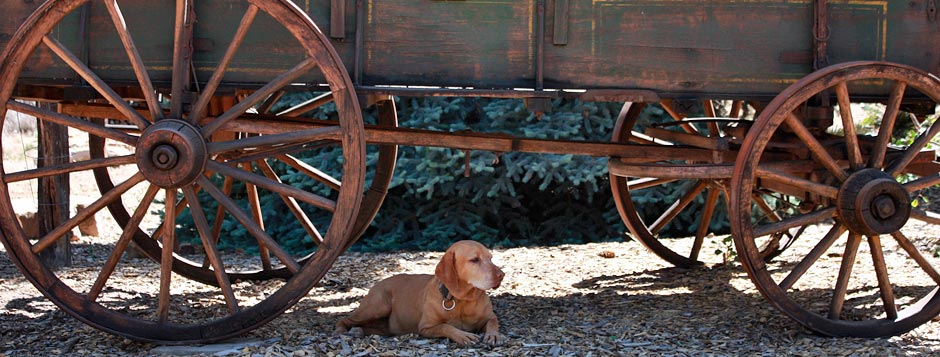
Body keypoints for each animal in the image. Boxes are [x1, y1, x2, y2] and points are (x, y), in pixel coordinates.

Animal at [334, 241, 504, 344]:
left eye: (490, 258)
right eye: (474, 260)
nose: (501, 275)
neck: (461, 299)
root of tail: (377, 283)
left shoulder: (490, 317)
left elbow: (493, 322)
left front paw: (493, 335)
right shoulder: (426, 327)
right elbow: (445, 327)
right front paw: (462, 335)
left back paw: (359, 331)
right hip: (377, 307)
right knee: (345, 319)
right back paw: (343, 330)